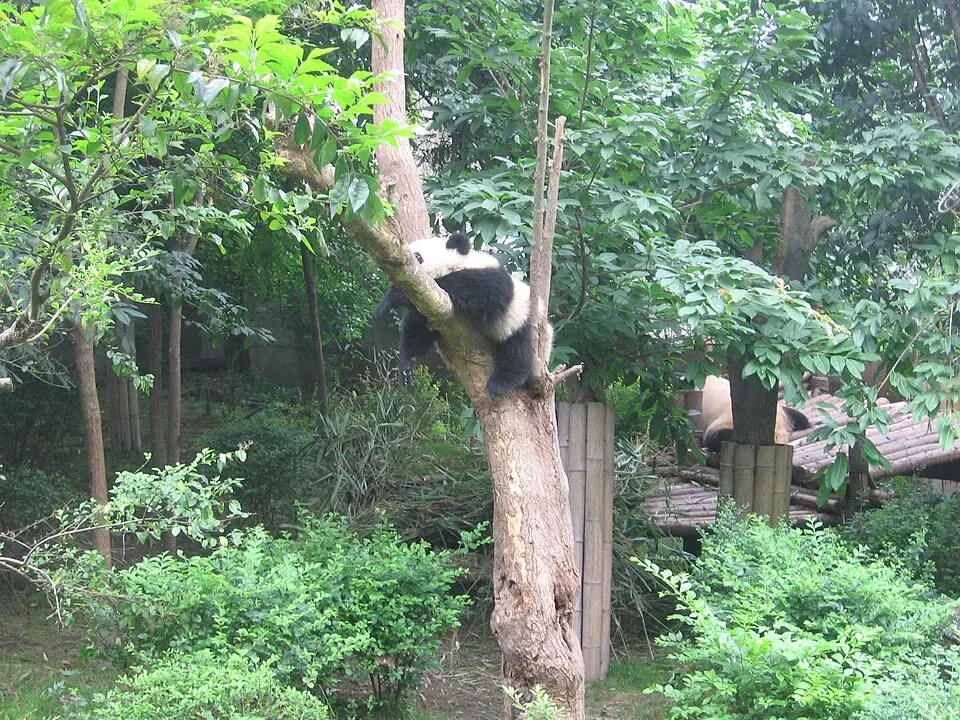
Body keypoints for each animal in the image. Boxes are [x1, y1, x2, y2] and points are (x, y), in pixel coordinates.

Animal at [375, 231, 552, 396]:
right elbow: (418, 330)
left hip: (522, 318)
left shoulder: (491, 280)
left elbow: (471, 289)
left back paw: (501, 383)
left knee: (517, 348)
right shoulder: (431, 308)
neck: (460, 262)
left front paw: (392, 297)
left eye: (418, 257)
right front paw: (406, 369)